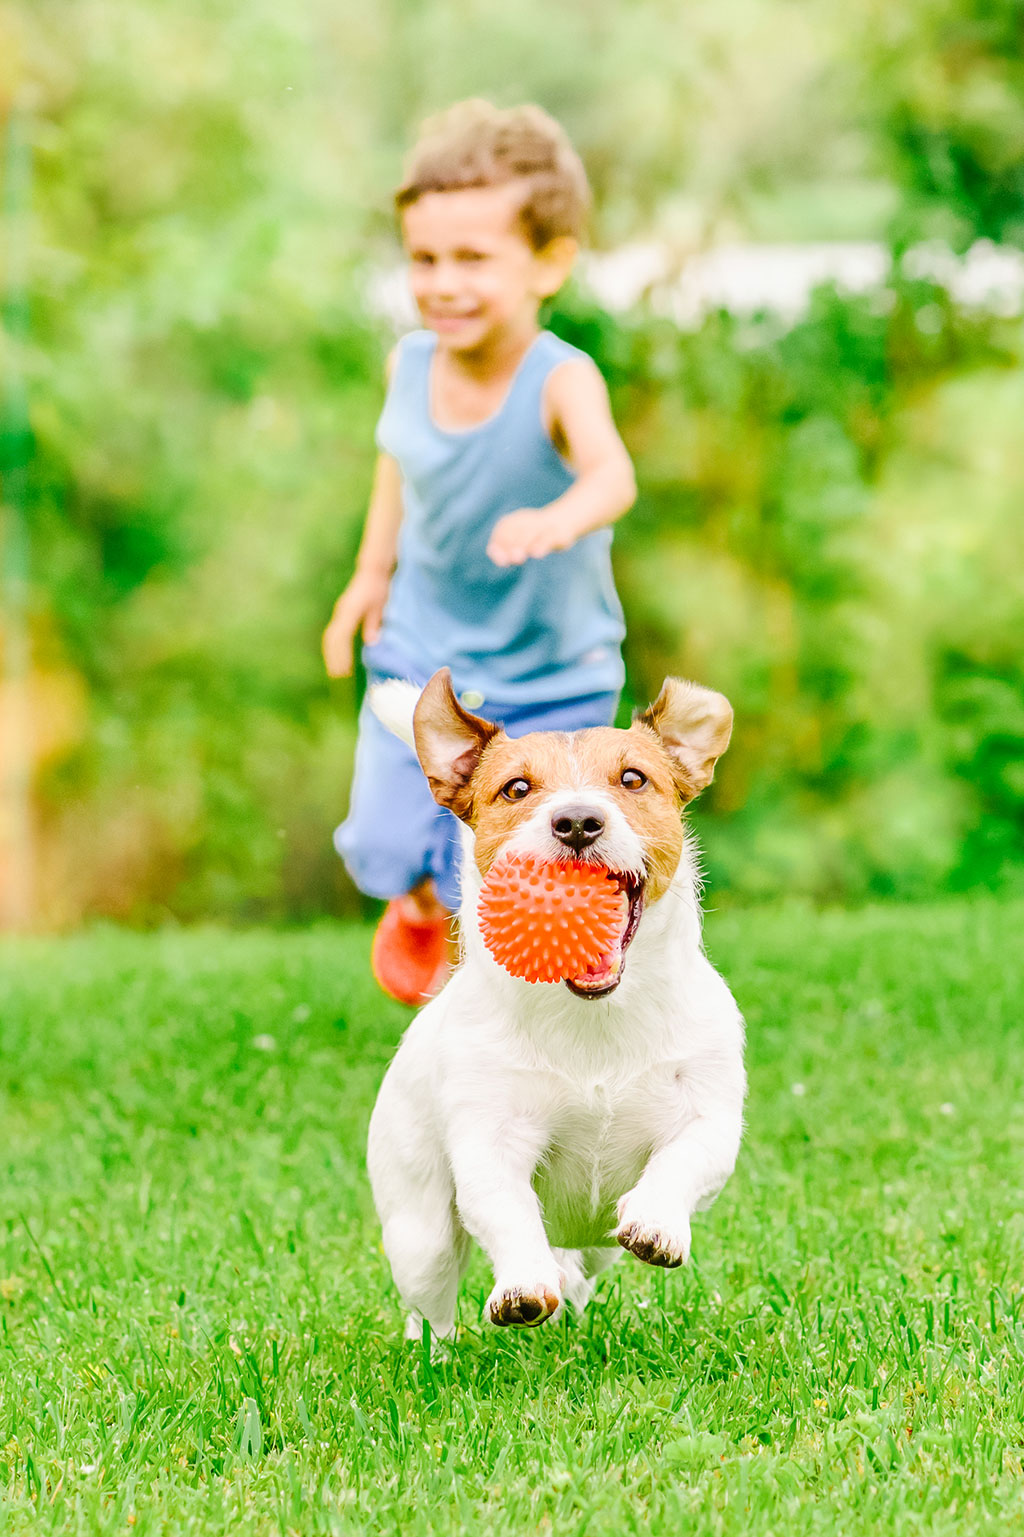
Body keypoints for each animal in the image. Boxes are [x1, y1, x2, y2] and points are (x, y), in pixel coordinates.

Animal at [367, 667, 741, 1340]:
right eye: (515, 788)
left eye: (632, 779)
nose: (576, 820)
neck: (594, 1018)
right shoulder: (490, 1140)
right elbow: (508, 1211)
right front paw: (522, 1285)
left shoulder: (710, 1115)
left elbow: (682, 1161)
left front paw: (656, 1224)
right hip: (419, 1229)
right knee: (430, 1306)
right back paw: (433, 1354)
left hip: (592, 1245)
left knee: (582, 1263)